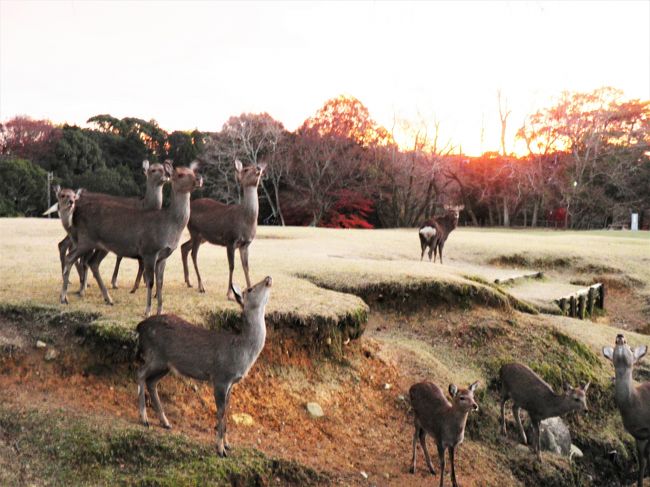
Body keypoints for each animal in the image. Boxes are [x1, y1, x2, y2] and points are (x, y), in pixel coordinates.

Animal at [61, 164, 202, 316]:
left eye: (192, 171)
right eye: (181, 174)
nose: (199, 178)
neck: (170, 228)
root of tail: (76, 213)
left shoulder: (164, 255)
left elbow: (160, 282)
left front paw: (160, 310)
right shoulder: (149, 250)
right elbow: (151, 282)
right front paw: (147, 310)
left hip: (100, 245)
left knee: (92, 262)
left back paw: (108, 299)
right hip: (85, 240)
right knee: (70, 258)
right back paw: (64, 298)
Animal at [137, 276, 270, 460]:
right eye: (250, 289)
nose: (268, 278)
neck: (240, 352)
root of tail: (139, 327)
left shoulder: (231, 383)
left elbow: (227, 411)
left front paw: (227, 444)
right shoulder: (221, 377)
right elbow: (220, 412)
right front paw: (220, 449)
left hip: (165, 364)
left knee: (151, 382)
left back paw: (165, 422)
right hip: (155, 355)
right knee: (140, 374)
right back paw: (144, 419)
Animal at [180, 160, 264, 302]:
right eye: (246, 169)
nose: (259, 167)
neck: (246, 220)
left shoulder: (245, 244)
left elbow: (246, 266)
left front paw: (250, 290)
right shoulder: (230, 239)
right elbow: (232, 266)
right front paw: (229, 294)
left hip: (202, 237)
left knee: (184, 246)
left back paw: (188, 281)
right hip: (195, 231)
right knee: (193, 254)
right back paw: (201, 286)